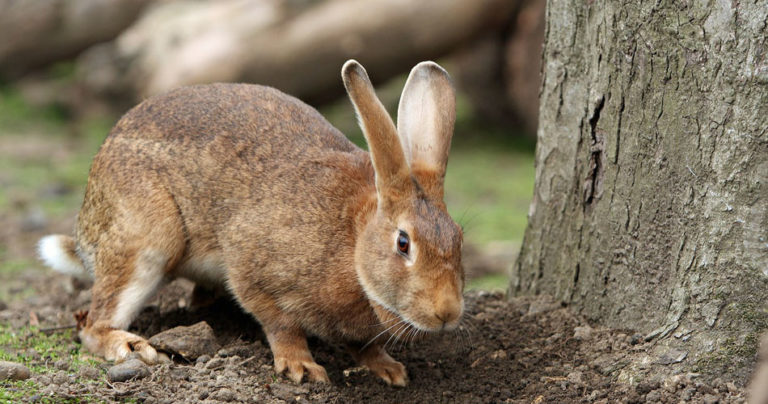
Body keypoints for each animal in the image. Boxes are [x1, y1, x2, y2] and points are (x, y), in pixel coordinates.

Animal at [37, 59, 464, 386]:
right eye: (403, 243)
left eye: (458, 239)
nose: (448, 312)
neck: (353, 240)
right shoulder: (252, 268)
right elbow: (280, 324)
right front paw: (302, 367)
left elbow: (365, 346)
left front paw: (389, 370)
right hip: (146, 239)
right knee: (93, 323)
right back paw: (130, 346)